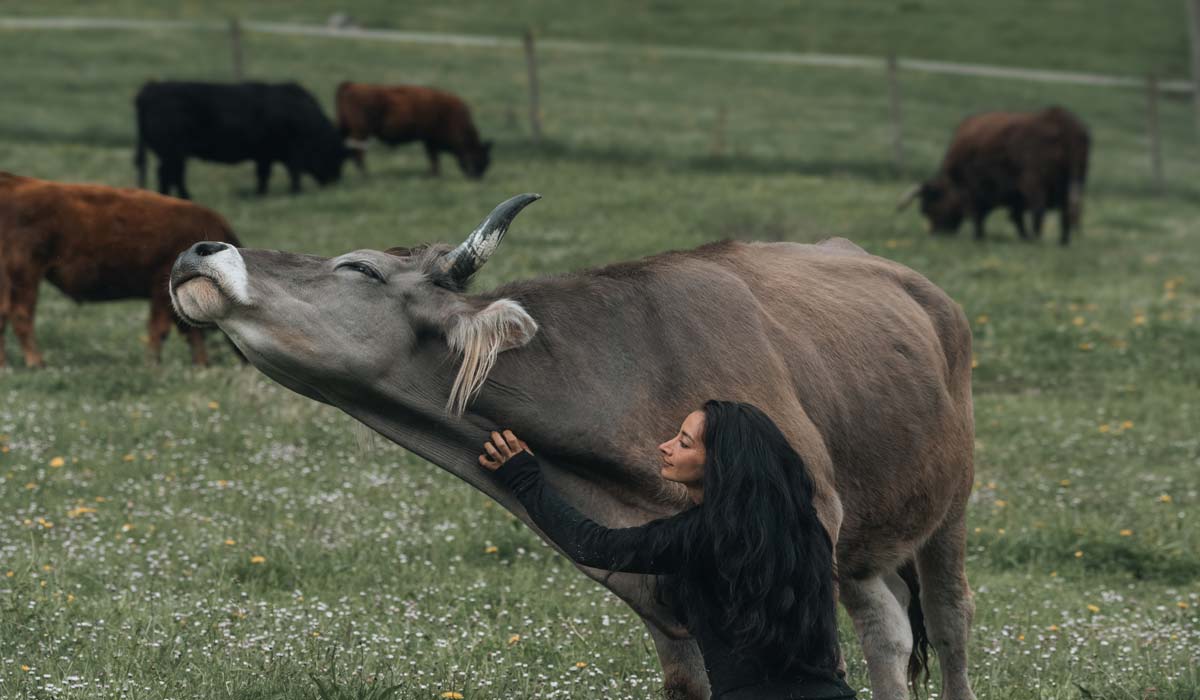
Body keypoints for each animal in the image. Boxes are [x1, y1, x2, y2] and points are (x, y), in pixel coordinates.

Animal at [0, 172, 241, 369]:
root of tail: (13, 182)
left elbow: (189, 331)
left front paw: (202, 365)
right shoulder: (161, 292)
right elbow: (161, 330)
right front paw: (153, 364)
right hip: (26, 275)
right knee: (20, 315)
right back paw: (36, 362)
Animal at [137, 81, 350, 200]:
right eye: (335, 154)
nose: (335, 180)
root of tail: (150, 90)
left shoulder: (265, 154)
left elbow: (263, 175)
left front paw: (261, 193)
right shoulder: (289, 151)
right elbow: (291, 172)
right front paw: (295, 191)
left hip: (175, 153)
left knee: (173, 174)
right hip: (172, 151)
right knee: (169, 174)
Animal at [166, 195, 974, 700]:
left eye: (359, 267)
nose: (200, 247)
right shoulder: (652, 578)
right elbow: (692, 679)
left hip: (951, 505)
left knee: (950, 630)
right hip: (868, 534)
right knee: (888, 631)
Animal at [333, 81, 492, 177]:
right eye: (479, 156)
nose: (478, 177)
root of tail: (350, 85)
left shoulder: (429, 140)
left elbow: (433, 158)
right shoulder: (430, 140)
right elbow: (433, 158)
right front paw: (435, 174)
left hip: (348, 129)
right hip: (361, 132)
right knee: (358, 154)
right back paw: (365, 176)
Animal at [897, 105, 1094, 244]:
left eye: (928, 207)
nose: (936, 233)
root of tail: (1063, 122)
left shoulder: (976, 189)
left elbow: (979, 214)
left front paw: (979, 236)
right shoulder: (1015, 195)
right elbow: (1015, 216)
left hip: (1036, 182)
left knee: (1039, 210)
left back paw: (1036, 239)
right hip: (1075, 180)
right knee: (1065, 213)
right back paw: (1062, 241)